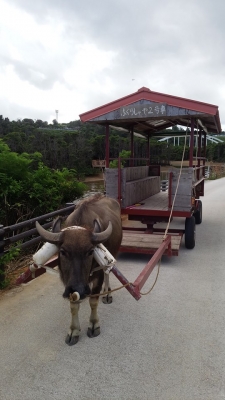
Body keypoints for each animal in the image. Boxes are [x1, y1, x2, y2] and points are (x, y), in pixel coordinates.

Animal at [35, 195, 122, 346]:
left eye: (90, 251)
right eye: (63, 251)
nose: (81, 290)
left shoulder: (97, 274)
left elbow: (93, 301)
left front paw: (94, 325)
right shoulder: (69, 283)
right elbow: (73, 305)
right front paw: (73, 331)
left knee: (108, 273)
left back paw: (107, 294)